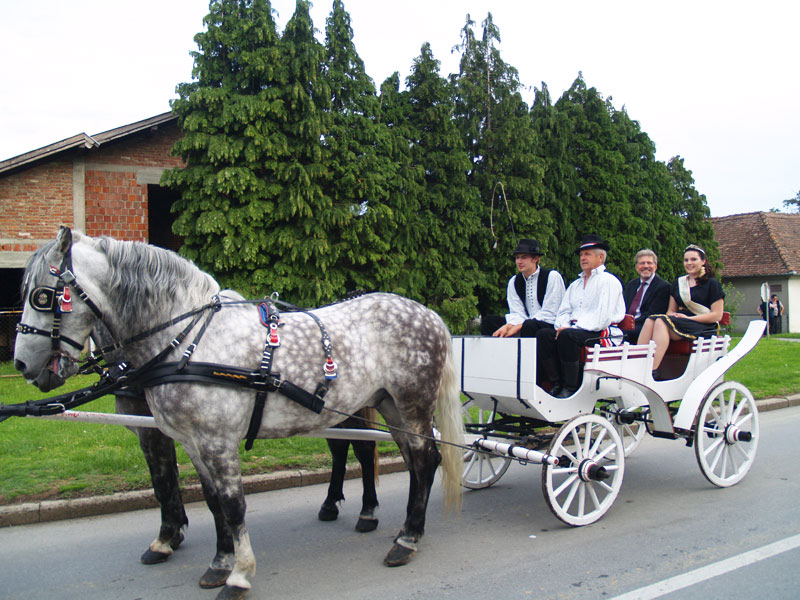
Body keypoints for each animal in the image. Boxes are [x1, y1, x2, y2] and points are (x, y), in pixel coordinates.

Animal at [13, 227, 463, 600]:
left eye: (42, 296)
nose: (21, 365)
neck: (187, 343)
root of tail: (428, 314)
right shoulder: (193, 442)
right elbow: (212, 502)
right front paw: (219, 562)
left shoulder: (217, 442)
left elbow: (233, 505)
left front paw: (240, 574)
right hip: (388, 405)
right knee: (409, 460)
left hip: (411, 403)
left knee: (424, 459)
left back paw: (406, 538)